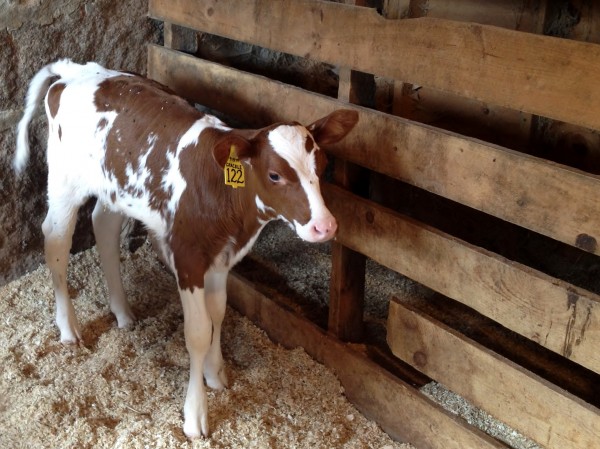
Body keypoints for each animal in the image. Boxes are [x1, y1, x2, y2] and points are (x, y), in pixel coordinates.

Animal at [15, 59, 356, 438]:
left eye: (322, 167)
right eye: (274, 175)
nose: (325, 226)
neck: (223, 191)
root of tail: (75, 69)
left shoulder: (222, 256)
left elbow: (218, 312)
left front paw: (215, 374)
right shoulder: (188, 256)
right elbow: (197, 332)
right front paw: (196, 415)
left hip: (115, 188)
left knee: (104, 226)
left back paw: (123, 313)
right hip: (64, 182)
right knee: (56, 243)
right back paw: (68, 328)